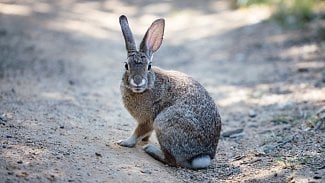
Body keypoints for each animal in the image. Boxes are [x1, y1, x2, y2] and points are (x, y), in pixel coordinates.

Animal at [116, 15, 220, 169]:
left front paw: (125, 142)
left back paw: (151, 150)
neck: (150, 85)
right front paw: (144, 139)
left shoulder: (148, 120)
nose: (138, 81)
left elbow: (138, 131)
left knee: (172, 161)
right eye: (126, 65)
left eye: (149, 66)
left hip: (163, 122)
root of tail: (202, 156)